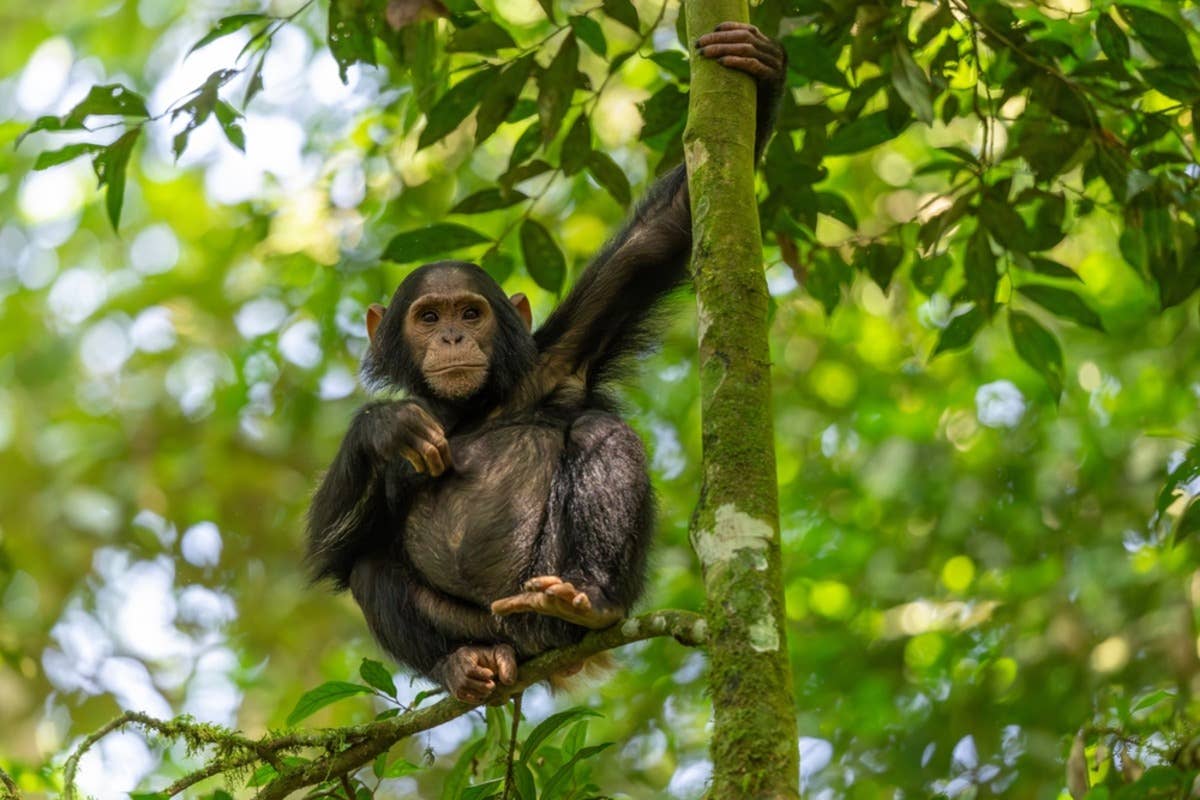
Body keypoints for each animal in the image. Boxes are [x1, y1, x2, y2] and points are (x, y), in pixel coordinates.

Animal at [307, 23, 786, 704]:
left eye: (471, 312)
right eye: (427, 316)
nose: (452, 335)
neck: (470, 409)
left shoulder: (564, 353)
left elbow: (663, 233)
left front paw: (761, 64)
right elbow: (330, 547)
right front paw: (384, 426)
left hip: (540, 598)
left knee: (599, 433)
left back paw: (590, 601)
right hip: (490, 624)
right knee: (370, 568)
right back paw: (465, 665)